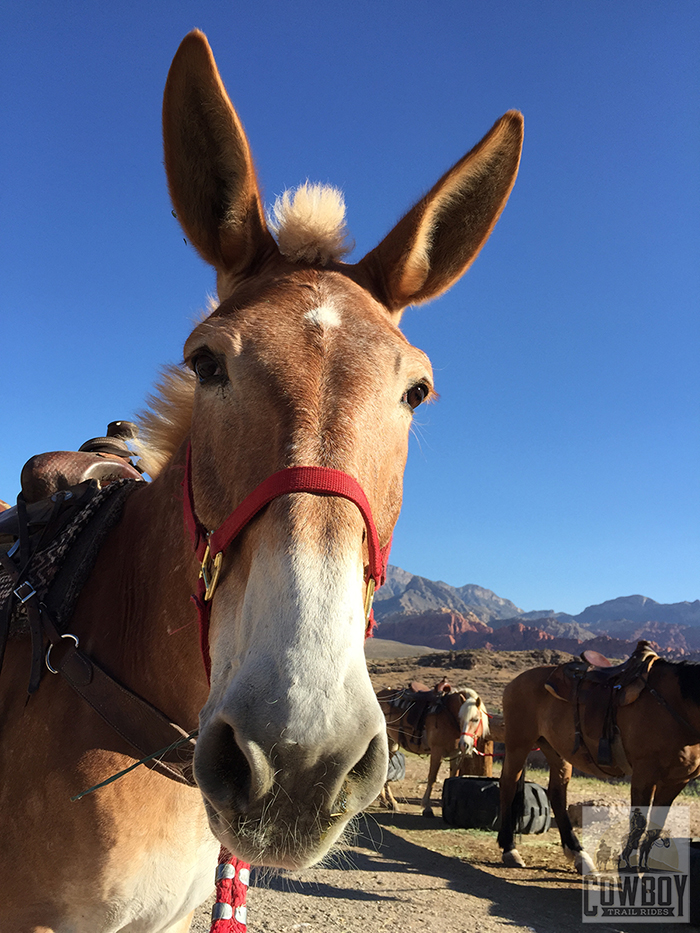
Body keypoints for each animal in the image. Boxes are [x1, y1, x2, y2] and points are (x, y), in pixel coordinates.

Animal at [378, 676, 492, 816]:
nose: (464, 744)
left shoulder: (457, 755)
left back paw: (386, 801)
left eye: (475, 719)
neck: (449, 715)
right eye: (460, 718)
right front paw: (427, 807)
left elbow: (452, 777)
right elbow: (432, 778)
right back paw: (389, 801)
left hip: (392, 744)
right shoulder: (437, 752)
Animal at [498, 644, 700, 872]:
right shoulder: (644, 776)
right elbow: (639, 825)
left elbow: (655, 828)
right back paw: (509, 849)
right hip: (518, 744)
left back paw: (578, 854)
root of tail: (516, 681)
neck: (674, 705)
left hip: (557, 752)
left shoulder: (675, 781)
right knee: (508, 786)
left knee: (557, 795)